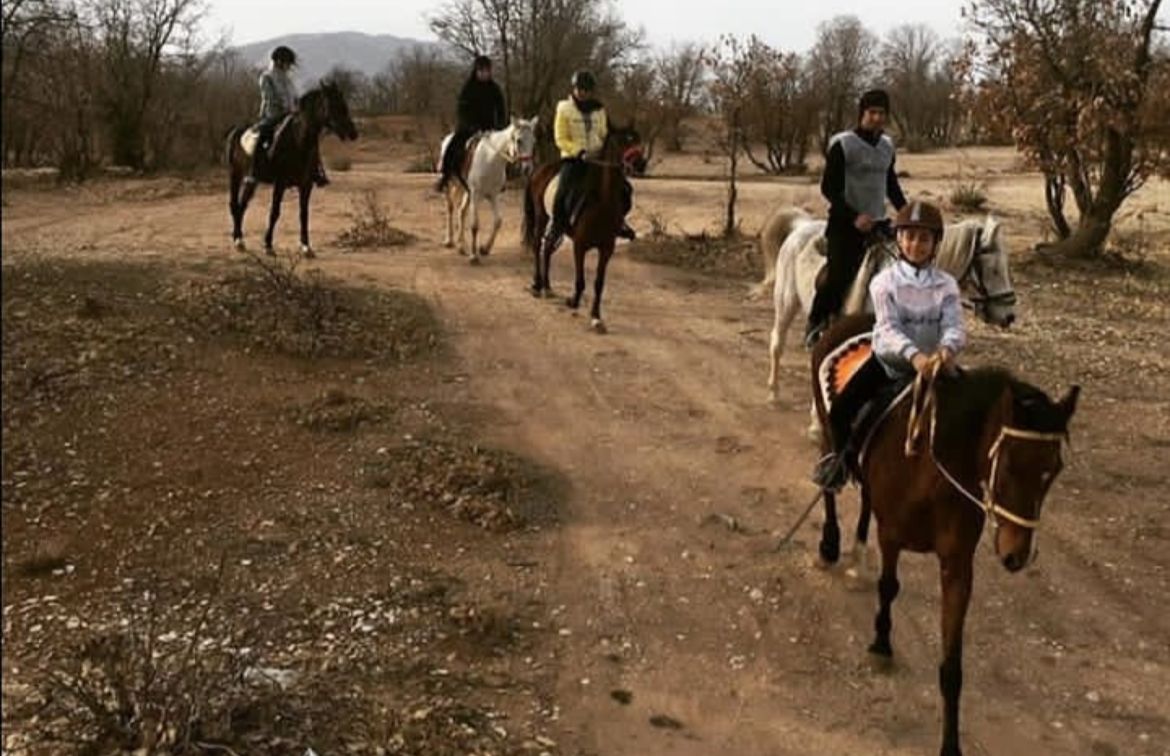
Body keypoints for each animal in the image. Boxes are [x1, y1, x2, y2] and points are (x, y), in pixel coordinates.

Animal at [224, 80, 355, 257]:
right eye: (333, 105)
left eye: (344, 103)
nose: (353, 132)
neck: (298, 141)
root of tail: (235, 131)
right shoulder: (280, 183)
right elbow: (275, 212)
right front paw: (268, 245)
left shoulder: (306, 185)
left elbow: (303, 214)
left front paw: (306, 246)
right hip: (235, 175)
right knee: (234, 204)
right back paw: (238, 240)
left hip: (252, 181)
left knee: (242, 205)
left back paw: (240, 239)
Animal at [439, 114, 538, 263]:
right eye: (519, 140)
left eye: (533, 141)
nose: (527, 169)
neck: (490, 160)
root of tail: (448, 137)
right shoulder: (476, 194)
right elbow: (475, 225)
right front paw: (474, 256)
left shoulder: (493, 195)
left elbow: (498, 221)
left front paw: (484, 249)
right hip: (451, 184)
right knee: (450, 207)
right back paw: (449, 240)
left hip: (465, 190)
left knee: (461, 211)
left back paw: (462, 246)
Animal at [524, 125, 645, 332]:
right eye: (626, 140)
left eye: (637, 139)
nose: (642, 164)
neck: (602, 204)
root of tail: (540, 169)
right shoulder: (579, 246)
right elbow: (580, 280)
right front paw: (573, 301)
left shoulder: (606, 249)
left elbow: (599, 283)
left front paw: (596, 317)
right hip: (542, 217)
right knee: (537, 245)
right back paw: (538, 285)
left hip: (556, 225)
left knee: (547, 248)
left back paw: (547, 287)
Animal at [814, 313, 1076, 756]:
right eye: (1008, 465)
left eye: (1053, 469)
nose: (1016, 554)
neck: (930, 468)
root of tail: (849, 321)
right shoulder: (892, 535)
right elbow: (889, 586)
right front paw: (881, 645)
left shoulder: (957, 564)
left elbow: (953, 665)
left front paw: (950, 743)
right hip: (827, 430)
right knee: (831, 485)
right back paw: (829, 546)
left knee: (864, 496)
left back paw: (856, 555)